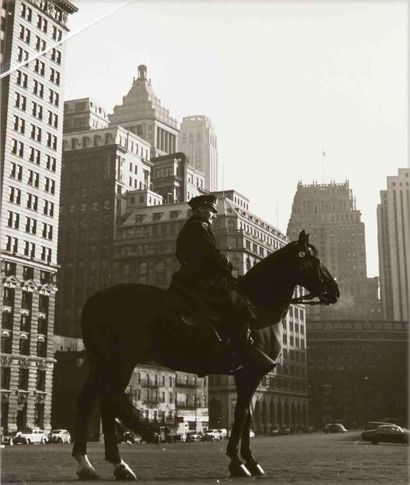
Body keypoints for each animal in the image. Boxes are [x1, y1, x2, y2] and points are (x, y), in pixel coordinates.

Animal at [72, 232, 338, 480]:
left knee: (88, 401)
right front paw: (237, 462)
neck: (257, 308)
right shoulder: (251, 371)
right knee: (108, 401)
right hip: (121, 361)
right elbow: (241, 415)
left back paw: (87, 464)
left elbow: (247, 416)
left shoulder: (246, 374)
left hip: (101, 362)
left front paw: (250, 461)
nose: (334, 291)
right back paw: (121, 461)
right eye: (312, 259)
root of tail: (95, 297)